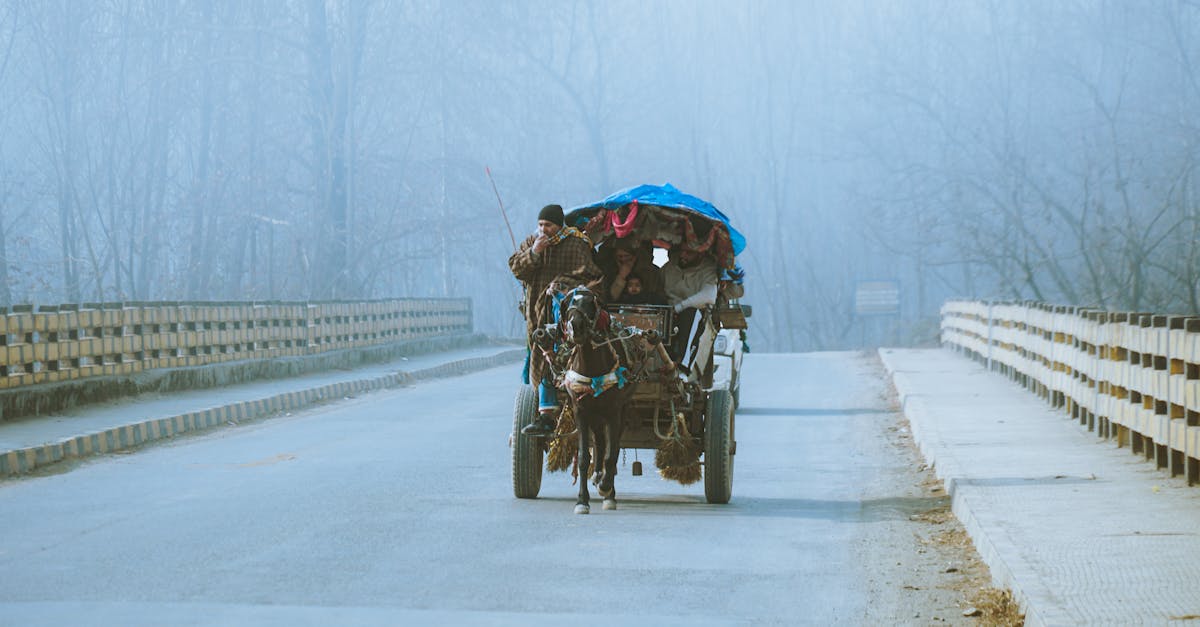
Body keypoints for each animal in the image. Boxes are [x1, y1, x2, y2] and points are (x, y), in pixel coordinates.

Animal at [559, 285, 638, 509]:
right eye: (569, 302)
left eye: (590, 303)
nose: (576, 326)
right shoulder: (580, 411)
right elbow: (584, 457)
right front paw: (582, 501)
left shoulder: (613, 411)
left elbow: (612, 454)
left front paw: (607, 489)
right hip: (595, 415)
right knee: (600, 443)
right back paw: (597, 475)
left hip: (621, 409)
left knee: (613, 446)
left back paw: (608, 489)